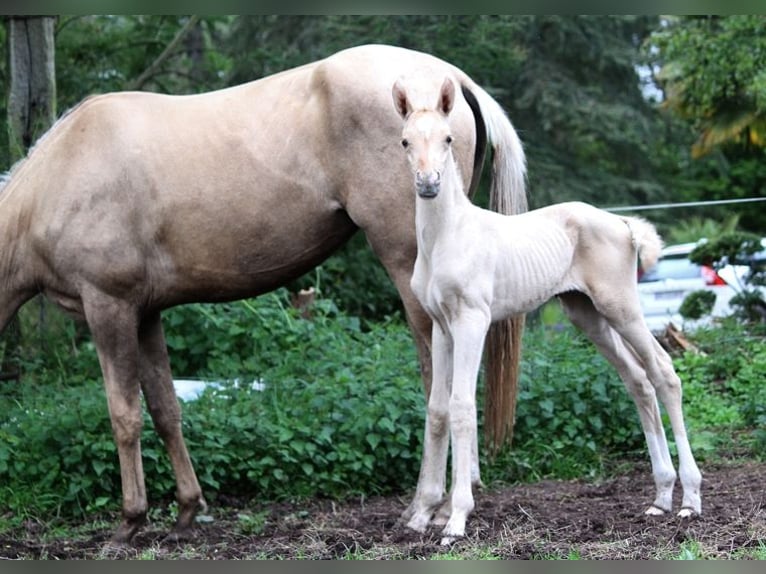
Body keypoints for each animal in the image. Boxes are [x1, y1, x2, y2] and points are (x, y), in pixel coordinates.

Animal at [396, 77, 704, 544]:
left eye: (449, 139)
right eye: (405, 141)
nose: (428, 184)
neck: (447, 236)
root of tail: (623, 224)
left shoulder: (472, 321)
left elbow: (463, 406)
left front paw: (455, 519)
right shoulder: (441, 326)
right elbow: (437, 410)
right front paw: (421, 515)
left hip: (621, 307)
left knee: (664, 373)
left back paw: (690, 500)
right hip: (587, 314)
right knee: (638, 381)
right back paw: (661, 497)